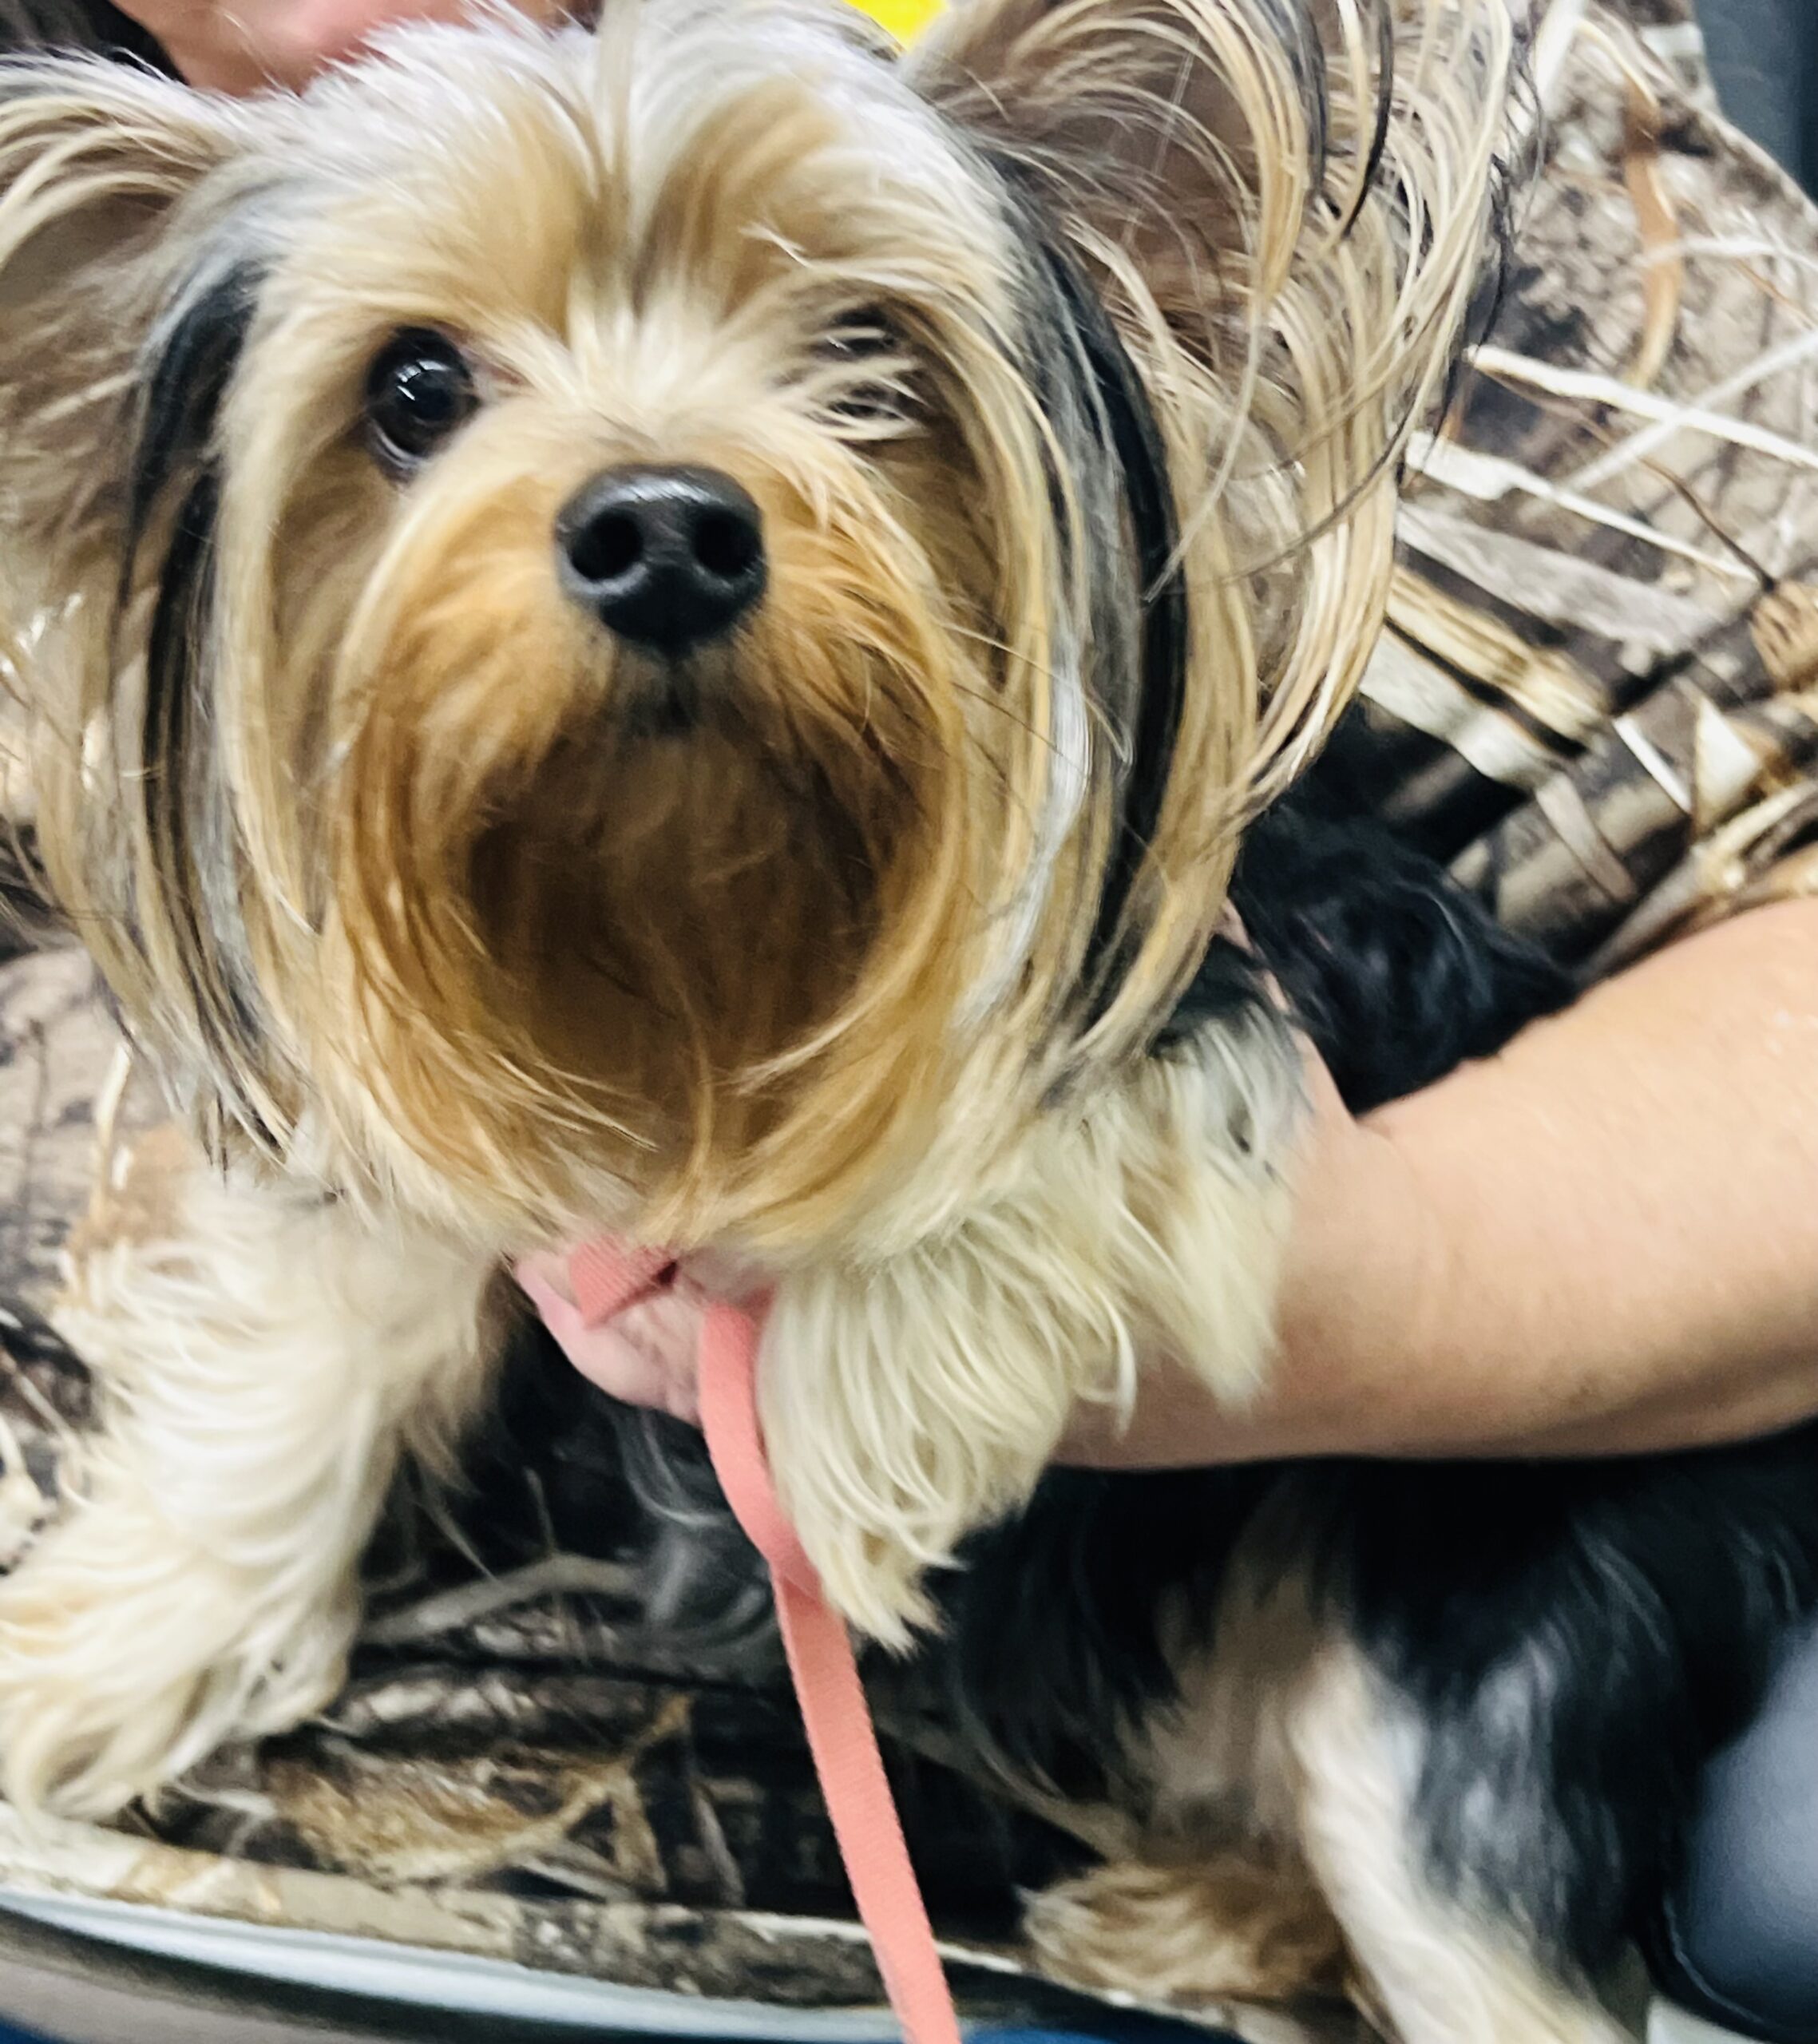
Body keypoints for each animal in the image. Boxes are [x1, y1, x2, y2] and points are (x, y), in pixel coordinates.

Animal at [2, 0, 1756, 2035]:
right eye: (415, 388)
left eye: (864, 350)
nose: (663, 527)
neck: (682, 900)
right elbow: (325, 1346)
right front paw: (114, 1642)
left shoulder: (1182, 972)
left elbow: (971, 1119)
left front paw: (838, 1429)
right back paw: (1199, 1914)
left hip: (1464, 1661)